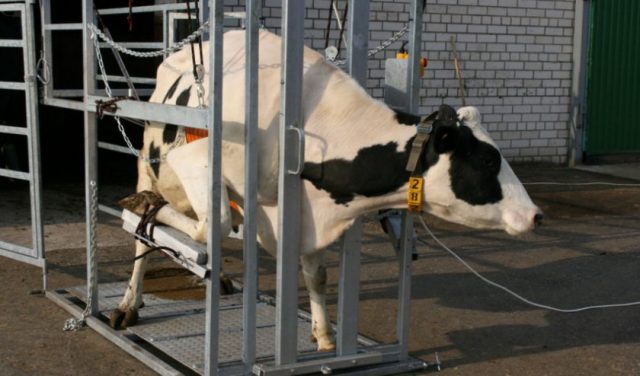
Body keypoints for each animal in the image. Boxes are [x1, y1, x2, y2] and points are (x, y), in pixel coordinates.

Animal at [111, 29, 544, 352]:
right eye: (487, 161)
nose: (537, 215)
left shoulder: (305, 210)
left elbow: (316, 274)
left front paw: (325, 337)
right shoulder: (197, 161)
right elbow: (209, 224)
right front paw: (152, 214)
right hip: (148, 161)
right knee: (144, 238)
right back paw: (129, 301)